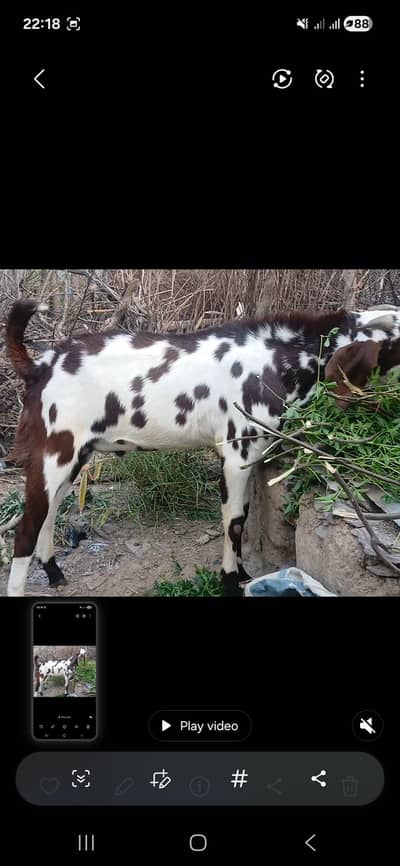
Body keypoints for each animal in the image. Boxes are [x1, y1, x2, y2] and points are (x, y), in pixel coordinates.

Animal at [4, 299, 400, 597]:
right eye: (395, 344)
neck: (272, 363)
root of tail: (41, 366)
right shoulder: (236, 455)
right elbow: (234, 523)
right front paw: (229, 582)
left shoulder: (250, 459)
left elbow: (242, 514)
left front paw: (242, 575)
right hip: (54, 454)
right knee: (26, 528)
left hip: (74, 458)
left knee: (49, 514)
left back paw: (54, 572)